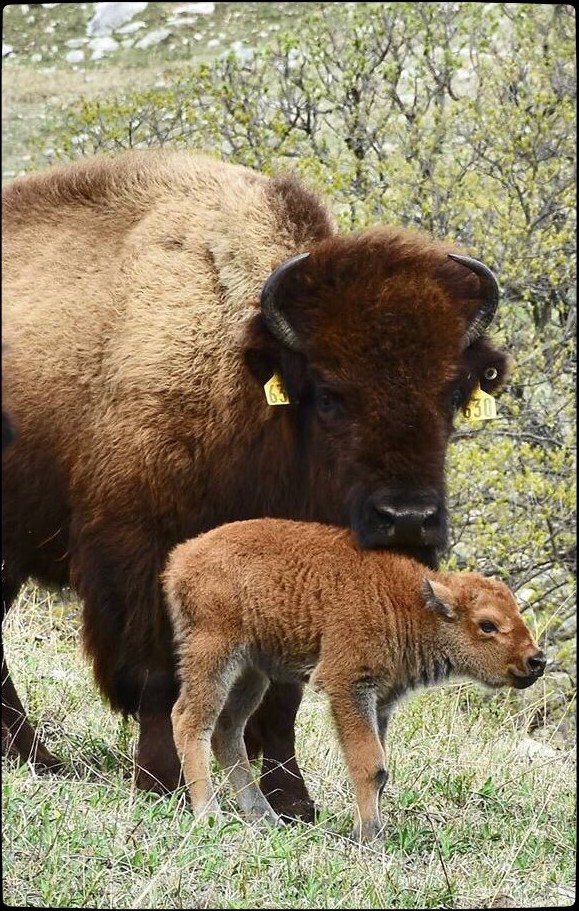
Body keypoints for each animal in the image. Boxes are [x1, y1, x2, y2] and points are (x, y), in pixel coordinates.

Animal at [1, 149, 509, 821]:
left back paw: (34, 758)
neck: (241, 370)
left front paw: (293, 803)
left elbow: (280, 700)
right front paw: (162, 784)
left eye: (453, 395)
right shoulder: (140, 557)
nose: (408, 518)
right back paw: (41, 759)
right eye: (329, 395)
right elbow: (160, 678)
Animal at [164, 518, 546, 841]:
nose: (537, 661)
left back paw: (264, 817)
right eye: (487, 624)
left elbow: (380, 769)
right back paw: (209, 814)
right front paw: (370, 836)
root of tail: (181, 557)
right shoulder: (350, 687)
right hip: (215, 655)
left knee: (227, 730)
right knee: (190, 720)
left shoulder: (382, 702)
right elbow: (370, 765)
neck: (412, 605)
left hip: (252, 672)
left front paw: (371, 828)